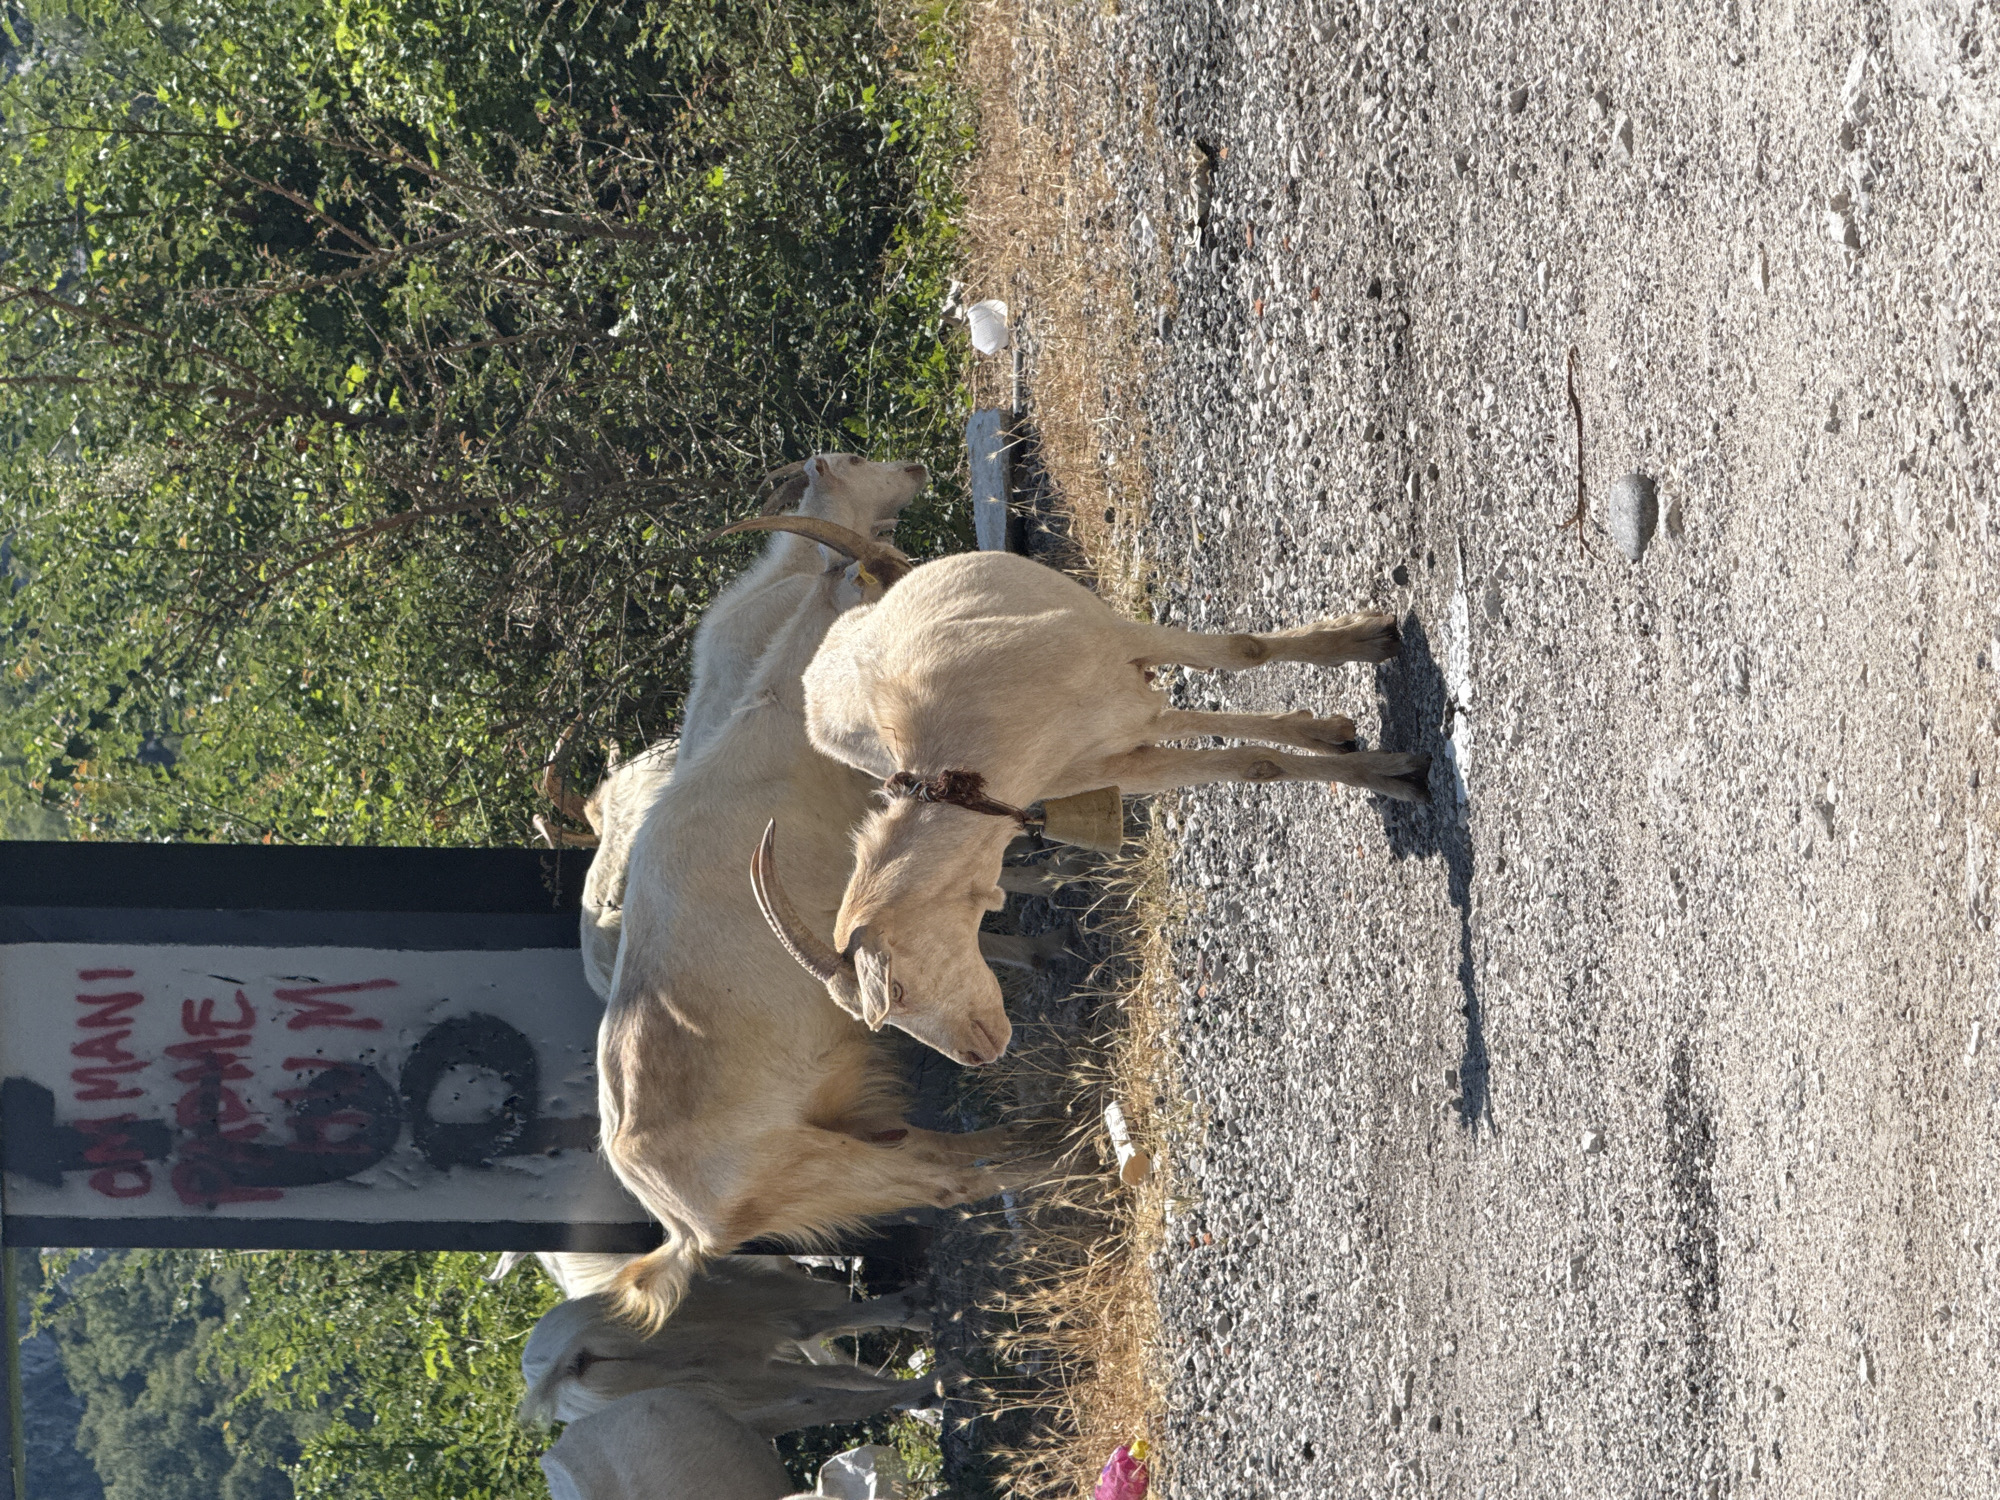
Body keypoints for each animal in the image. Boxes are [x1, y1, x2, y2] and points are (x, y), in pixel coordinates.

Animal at [745, 540, 1429, 1061]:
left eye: (900, 990)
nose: (980, 1053)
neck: (975, 746)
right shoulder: (1115, 763)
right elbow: (1251, 765)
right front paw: (1389, 770)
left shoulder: (1113, 640)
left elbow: (1245, 650)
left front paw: (1371, 651)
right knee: (1181, 719)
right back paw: (1324, 730)